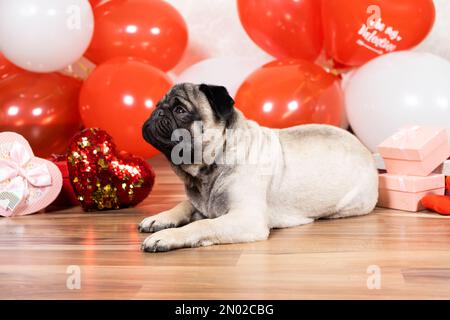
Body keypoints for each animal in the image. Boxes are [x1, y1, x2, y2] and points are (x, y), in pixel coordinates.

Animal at [139, 83, 378, 252]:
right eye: (157, 105)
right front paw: (160, 218)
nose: (157, 112)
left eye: (180, 110)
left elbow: (203, 225)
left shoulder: (246, 218)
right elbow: (184, 205)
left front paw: (168, 237)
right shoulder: (200, 202)